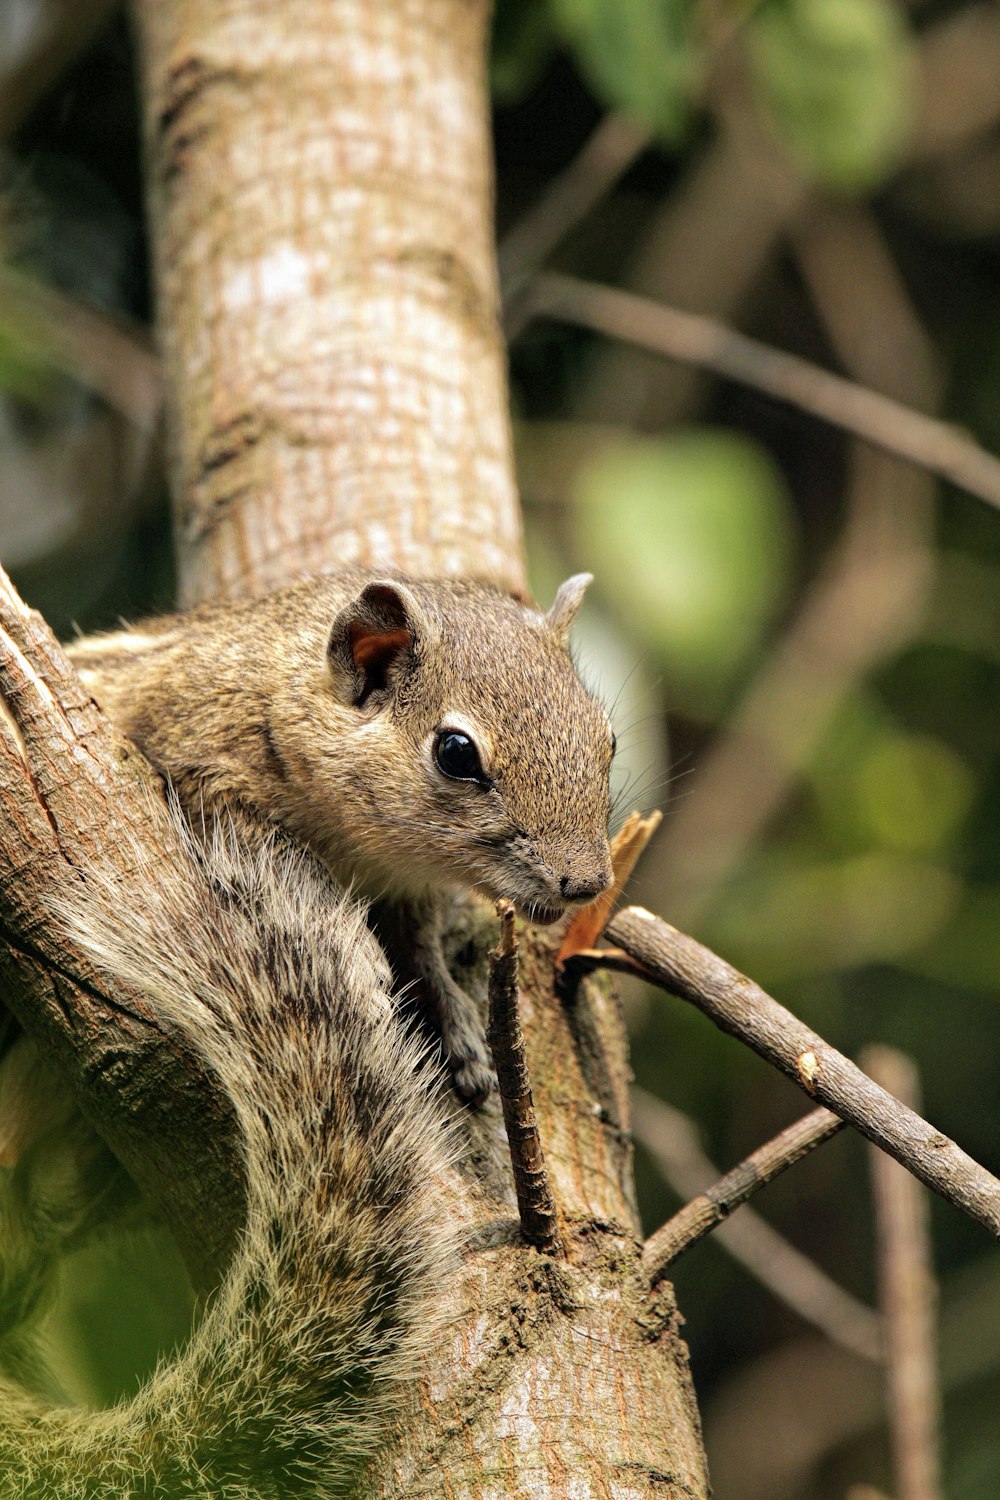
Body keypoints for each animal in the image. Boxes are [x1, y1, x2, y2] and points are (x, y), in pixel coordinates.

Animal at [64, 564, 617, 1104]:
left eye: (607, 737)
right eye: (456, 753)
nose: (586, 884)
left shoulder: (408, 889)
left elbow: (420, 946)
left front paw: (459, 1026)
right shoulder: (202, 777)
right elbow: (294, 868)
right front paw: (362, 962)